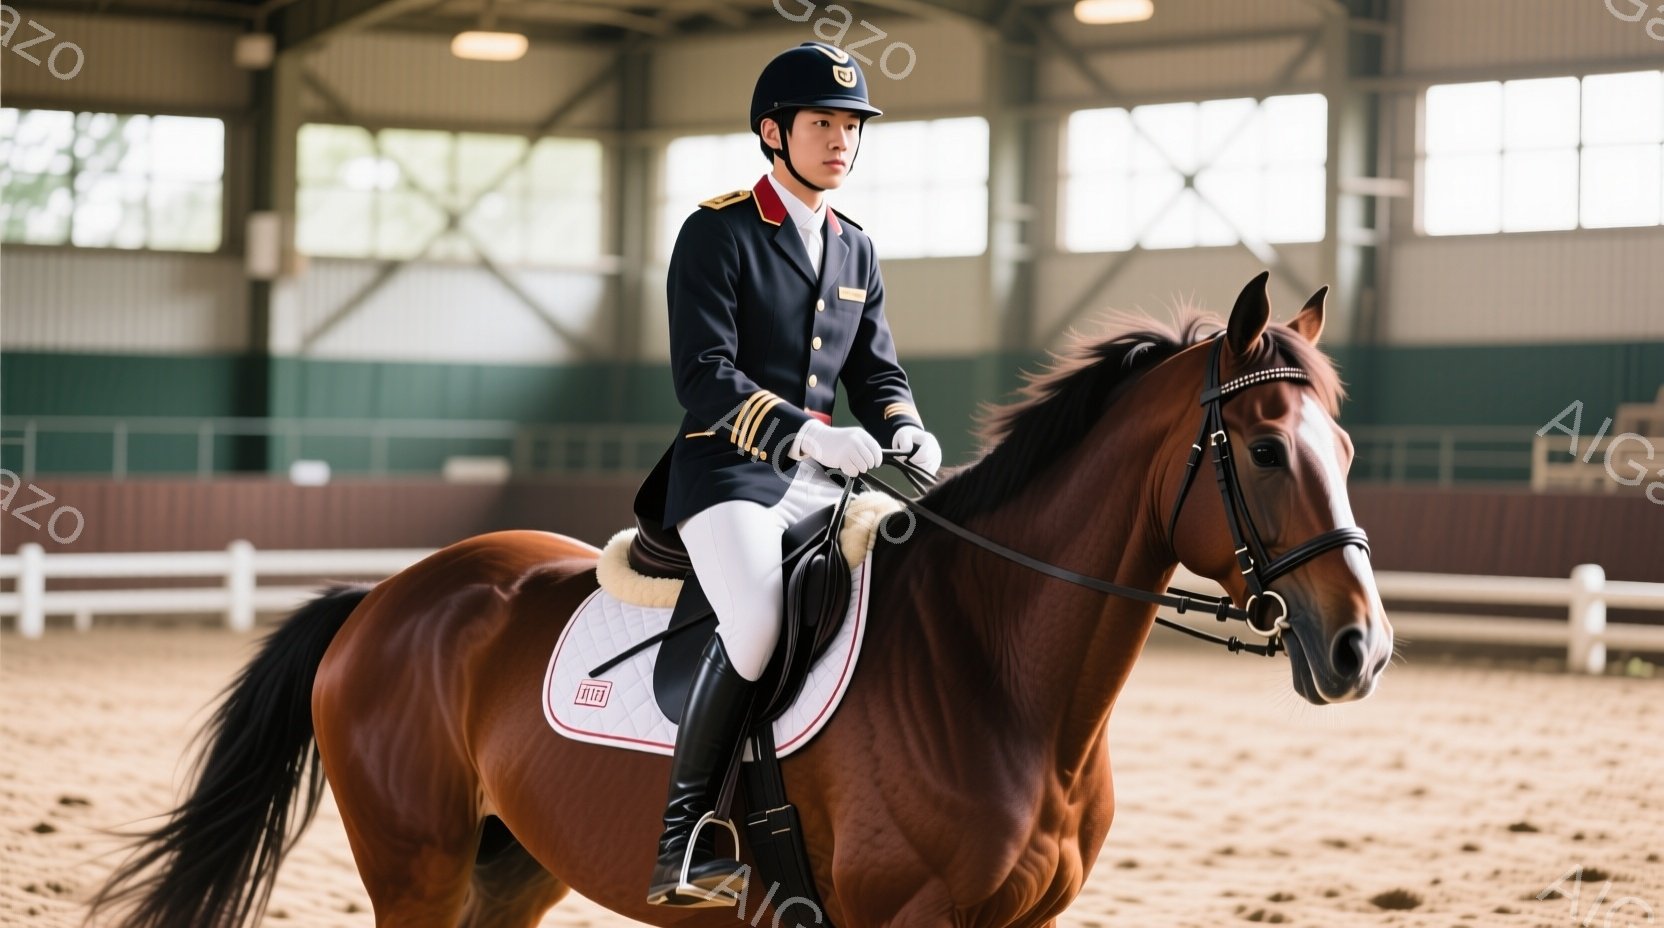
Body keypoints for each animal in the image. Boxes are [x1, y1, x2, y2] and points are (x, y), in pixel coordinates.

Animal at [88, 272, 1392, 928]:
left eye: (1342, 443)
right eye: (1264, 449)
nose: (1358, 651)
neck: (995, 671)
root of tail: (385, 597)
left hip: (507, 868)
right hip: (415, 866)